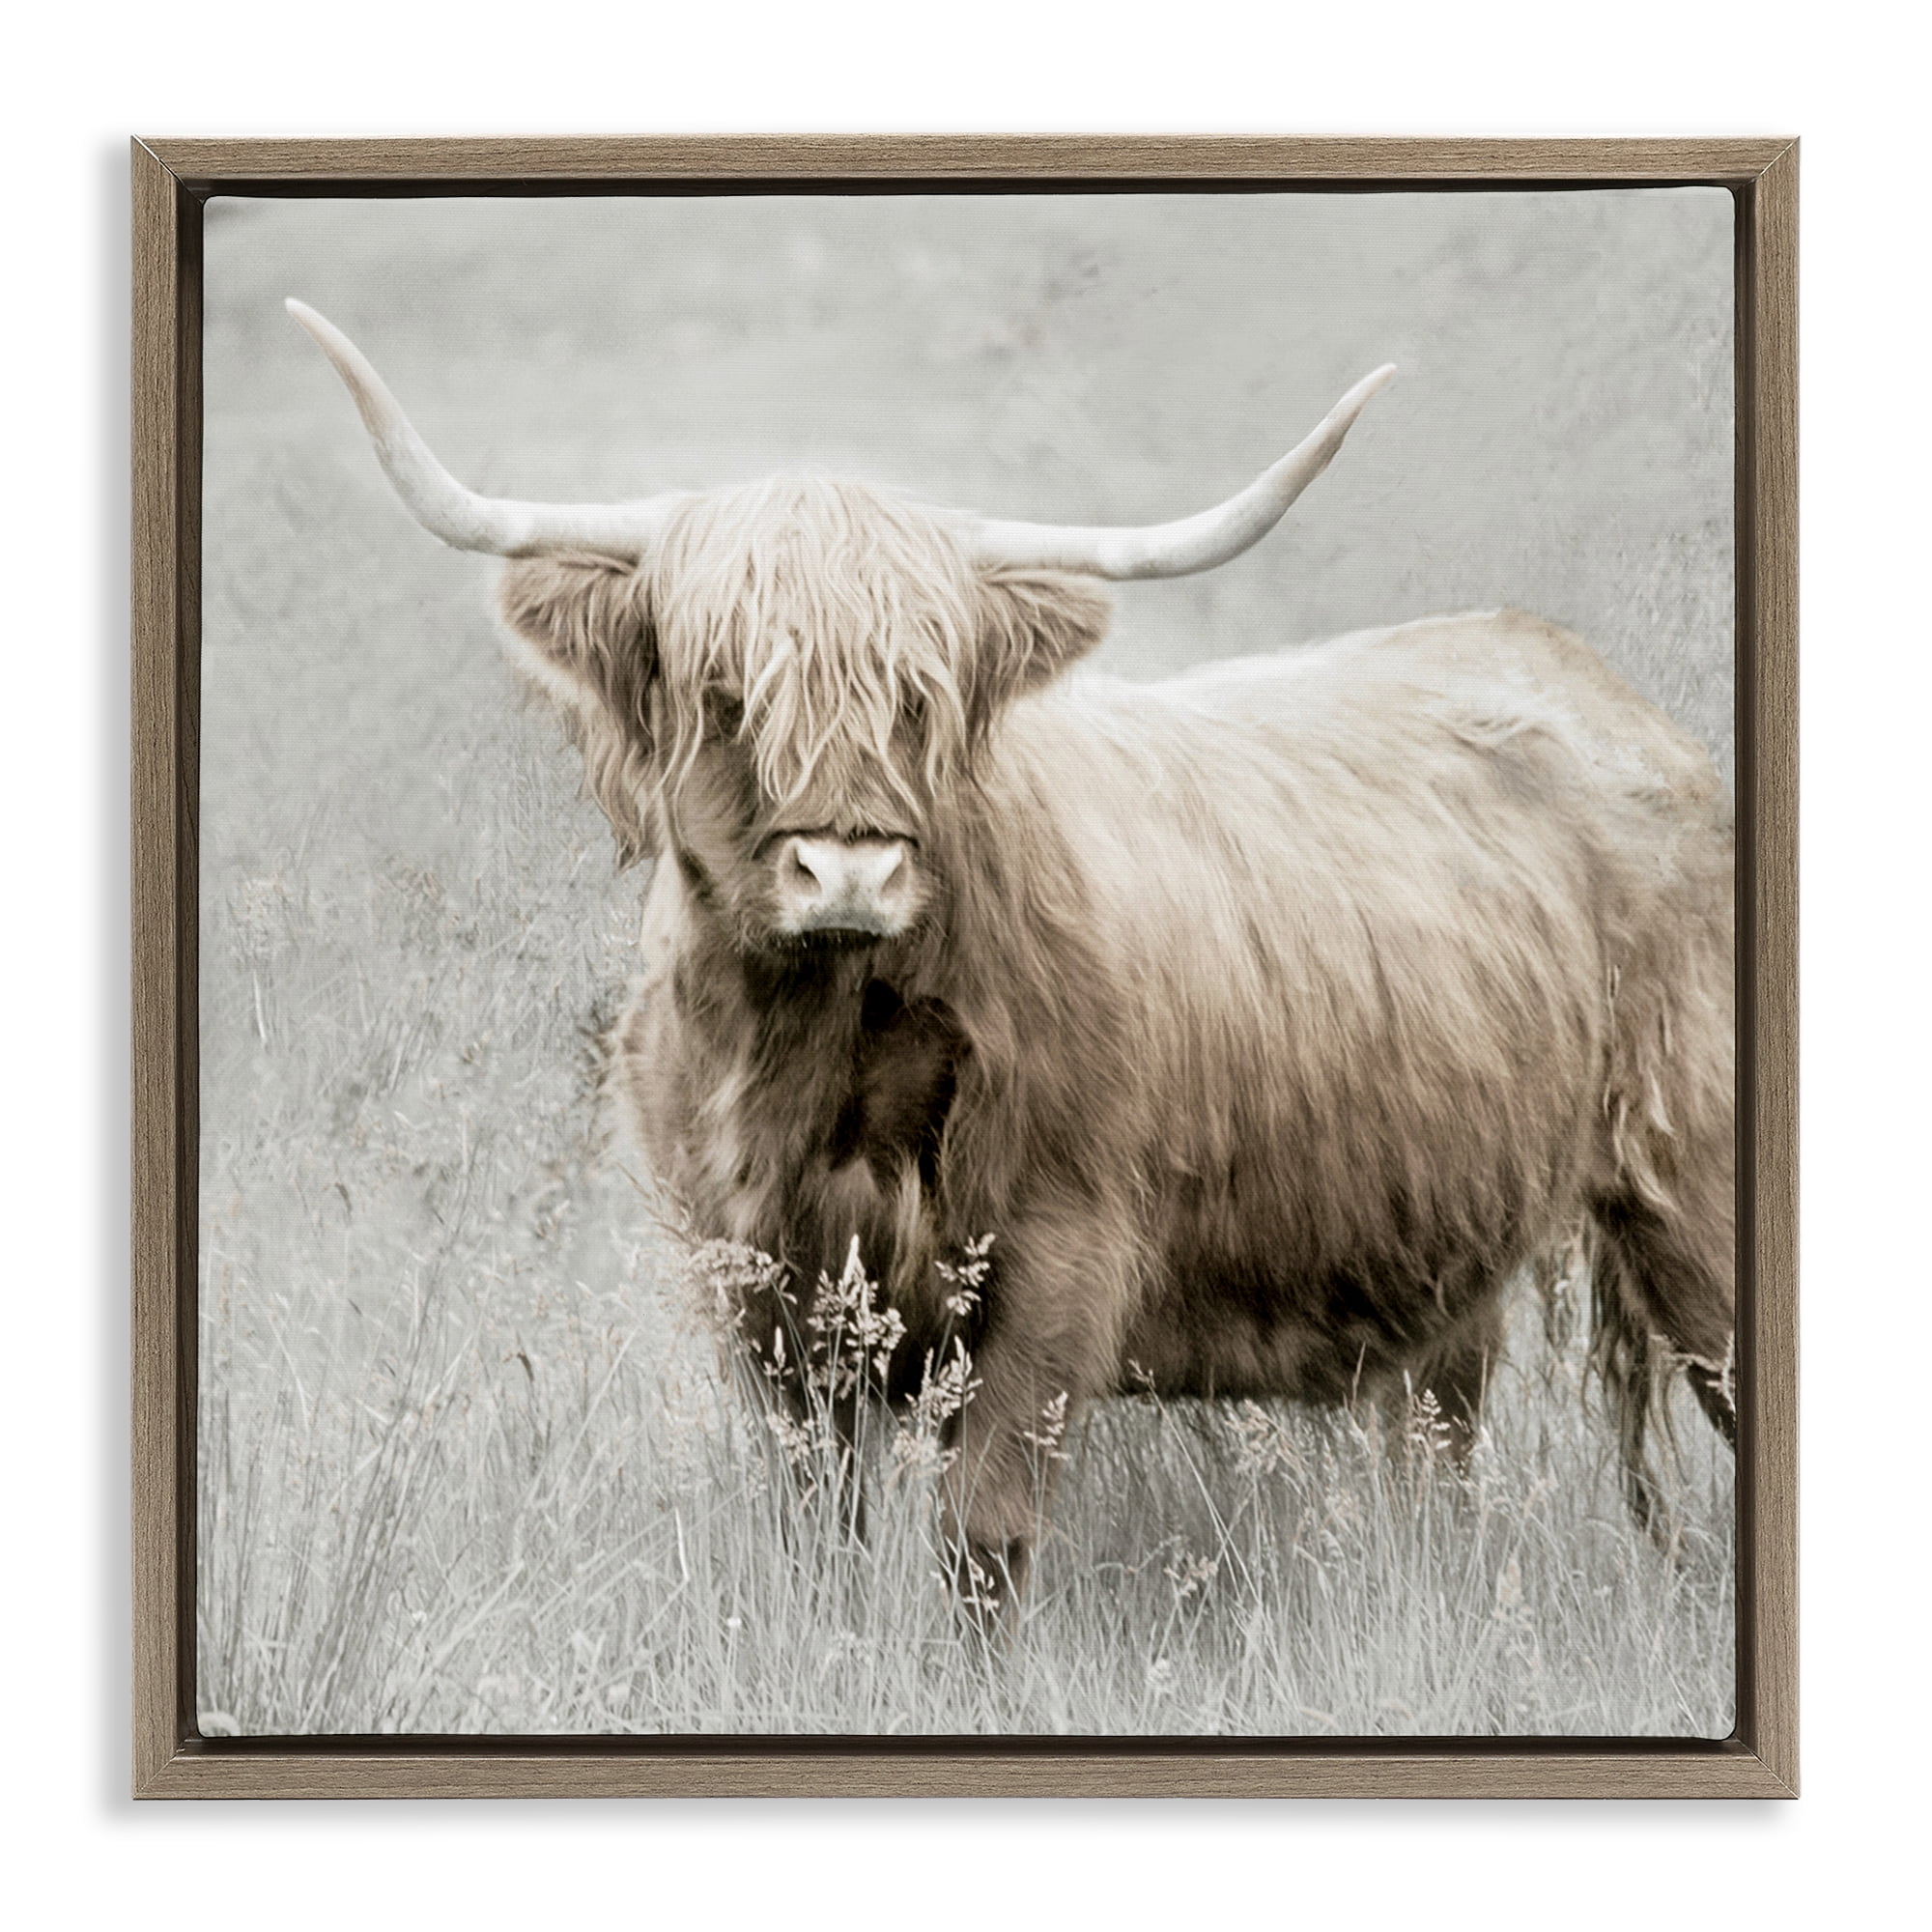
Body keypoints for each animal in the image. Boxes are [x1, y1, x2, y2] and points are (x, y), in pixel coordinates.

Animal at [289, 298, 1736, 1611]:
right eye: (725, 690)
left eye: (920, 696)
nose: (848, 872)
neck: (818, 1056)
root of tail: (1605, 695)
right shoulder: (756, 1289)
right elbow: (812, 1534)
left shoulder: (1057, 1263)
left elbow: (981, 1542)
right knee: (1439, 1442)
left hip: (1691, 1186)